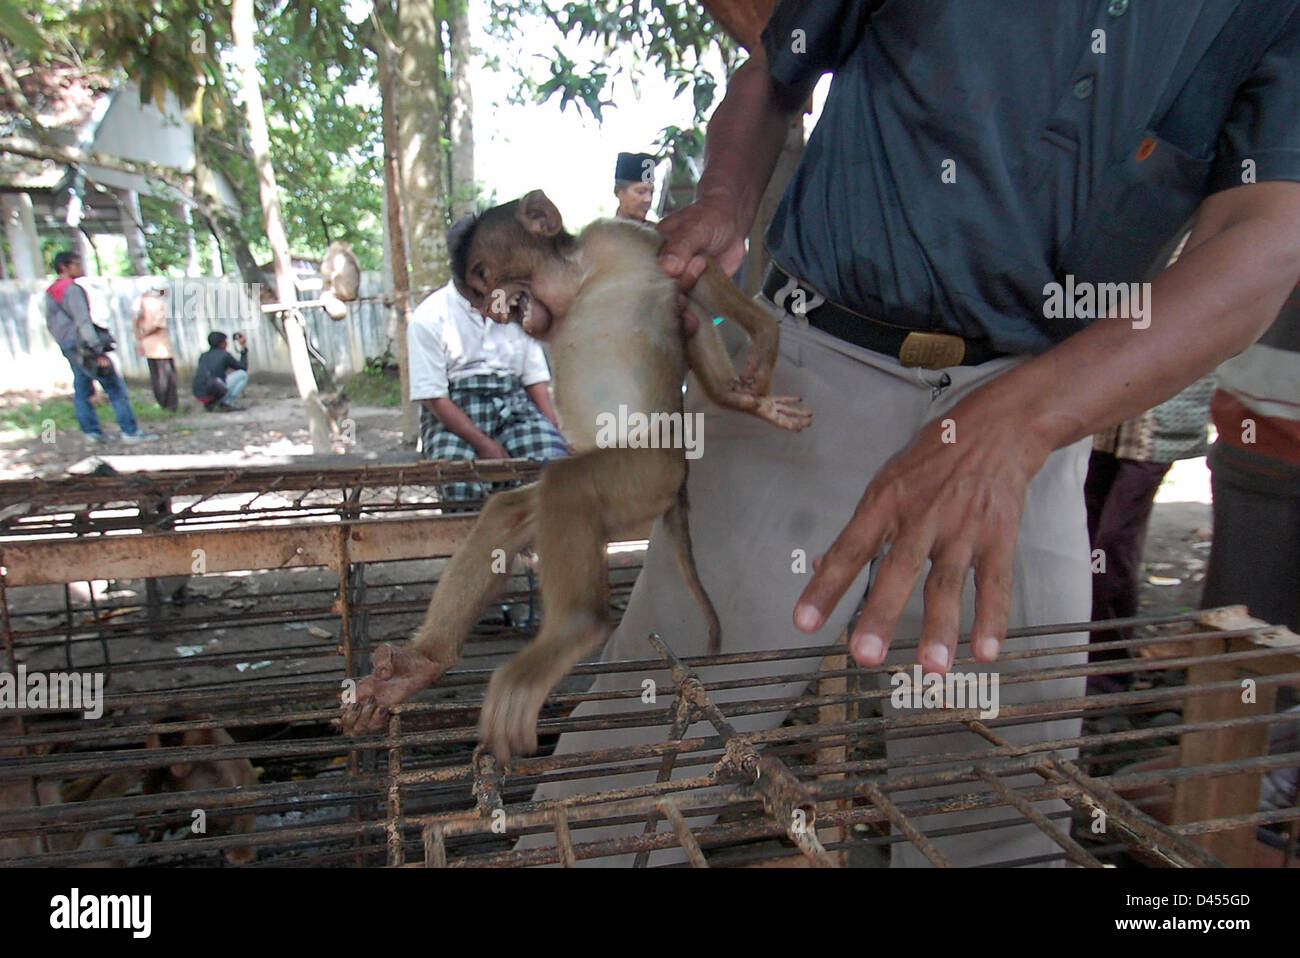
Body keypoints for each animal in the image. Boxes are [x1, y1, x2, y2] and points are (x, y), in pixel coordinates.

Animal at [345, 191, 811, 759]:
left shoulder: (625, 238)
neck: (580, 280)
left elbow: (693, 276)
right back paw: (421, 665)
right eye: (477, 293)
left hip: (646, 472)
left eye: (483, 276)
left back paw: (574, 628)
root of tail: (677, 482)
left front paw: (759, 355)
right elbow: (690, 314)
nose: (493, 309)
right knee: (514, 509)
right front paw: (744, 396)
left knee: (568, 483)